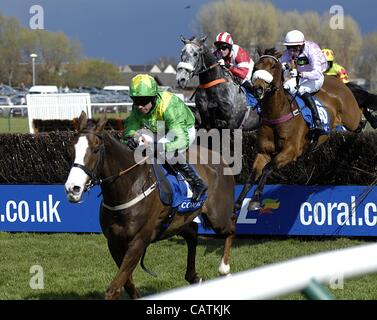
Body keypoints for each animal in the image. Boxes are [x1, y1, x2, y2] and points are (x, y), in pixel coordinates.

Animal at [64, 112, 235, 300]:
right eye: (71, 151)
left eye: (95, 150)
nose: (72, 188)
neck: (128, 187)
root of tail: (221, 159)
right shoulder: (114, 242)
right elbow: (128, 285)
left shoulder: (139, 241)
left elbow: (114, 288)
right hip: (179, 221)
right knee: (192, 235)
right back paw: (194, 277)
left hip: (217, 217)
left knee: (231, 227)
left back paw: (224, 269)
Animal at [235, 48, 362, 210]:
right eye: (256, 67)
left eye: (273, 66)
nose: (258, 88)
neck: (277, 113)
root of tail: (338, 82)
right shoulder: (263, 152)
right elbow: (252, 176)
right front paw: (238, 204)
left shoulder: (291, 151)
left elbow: (268, 168)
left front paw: (256, 199)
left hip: (352, 118)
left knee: (360, 124)